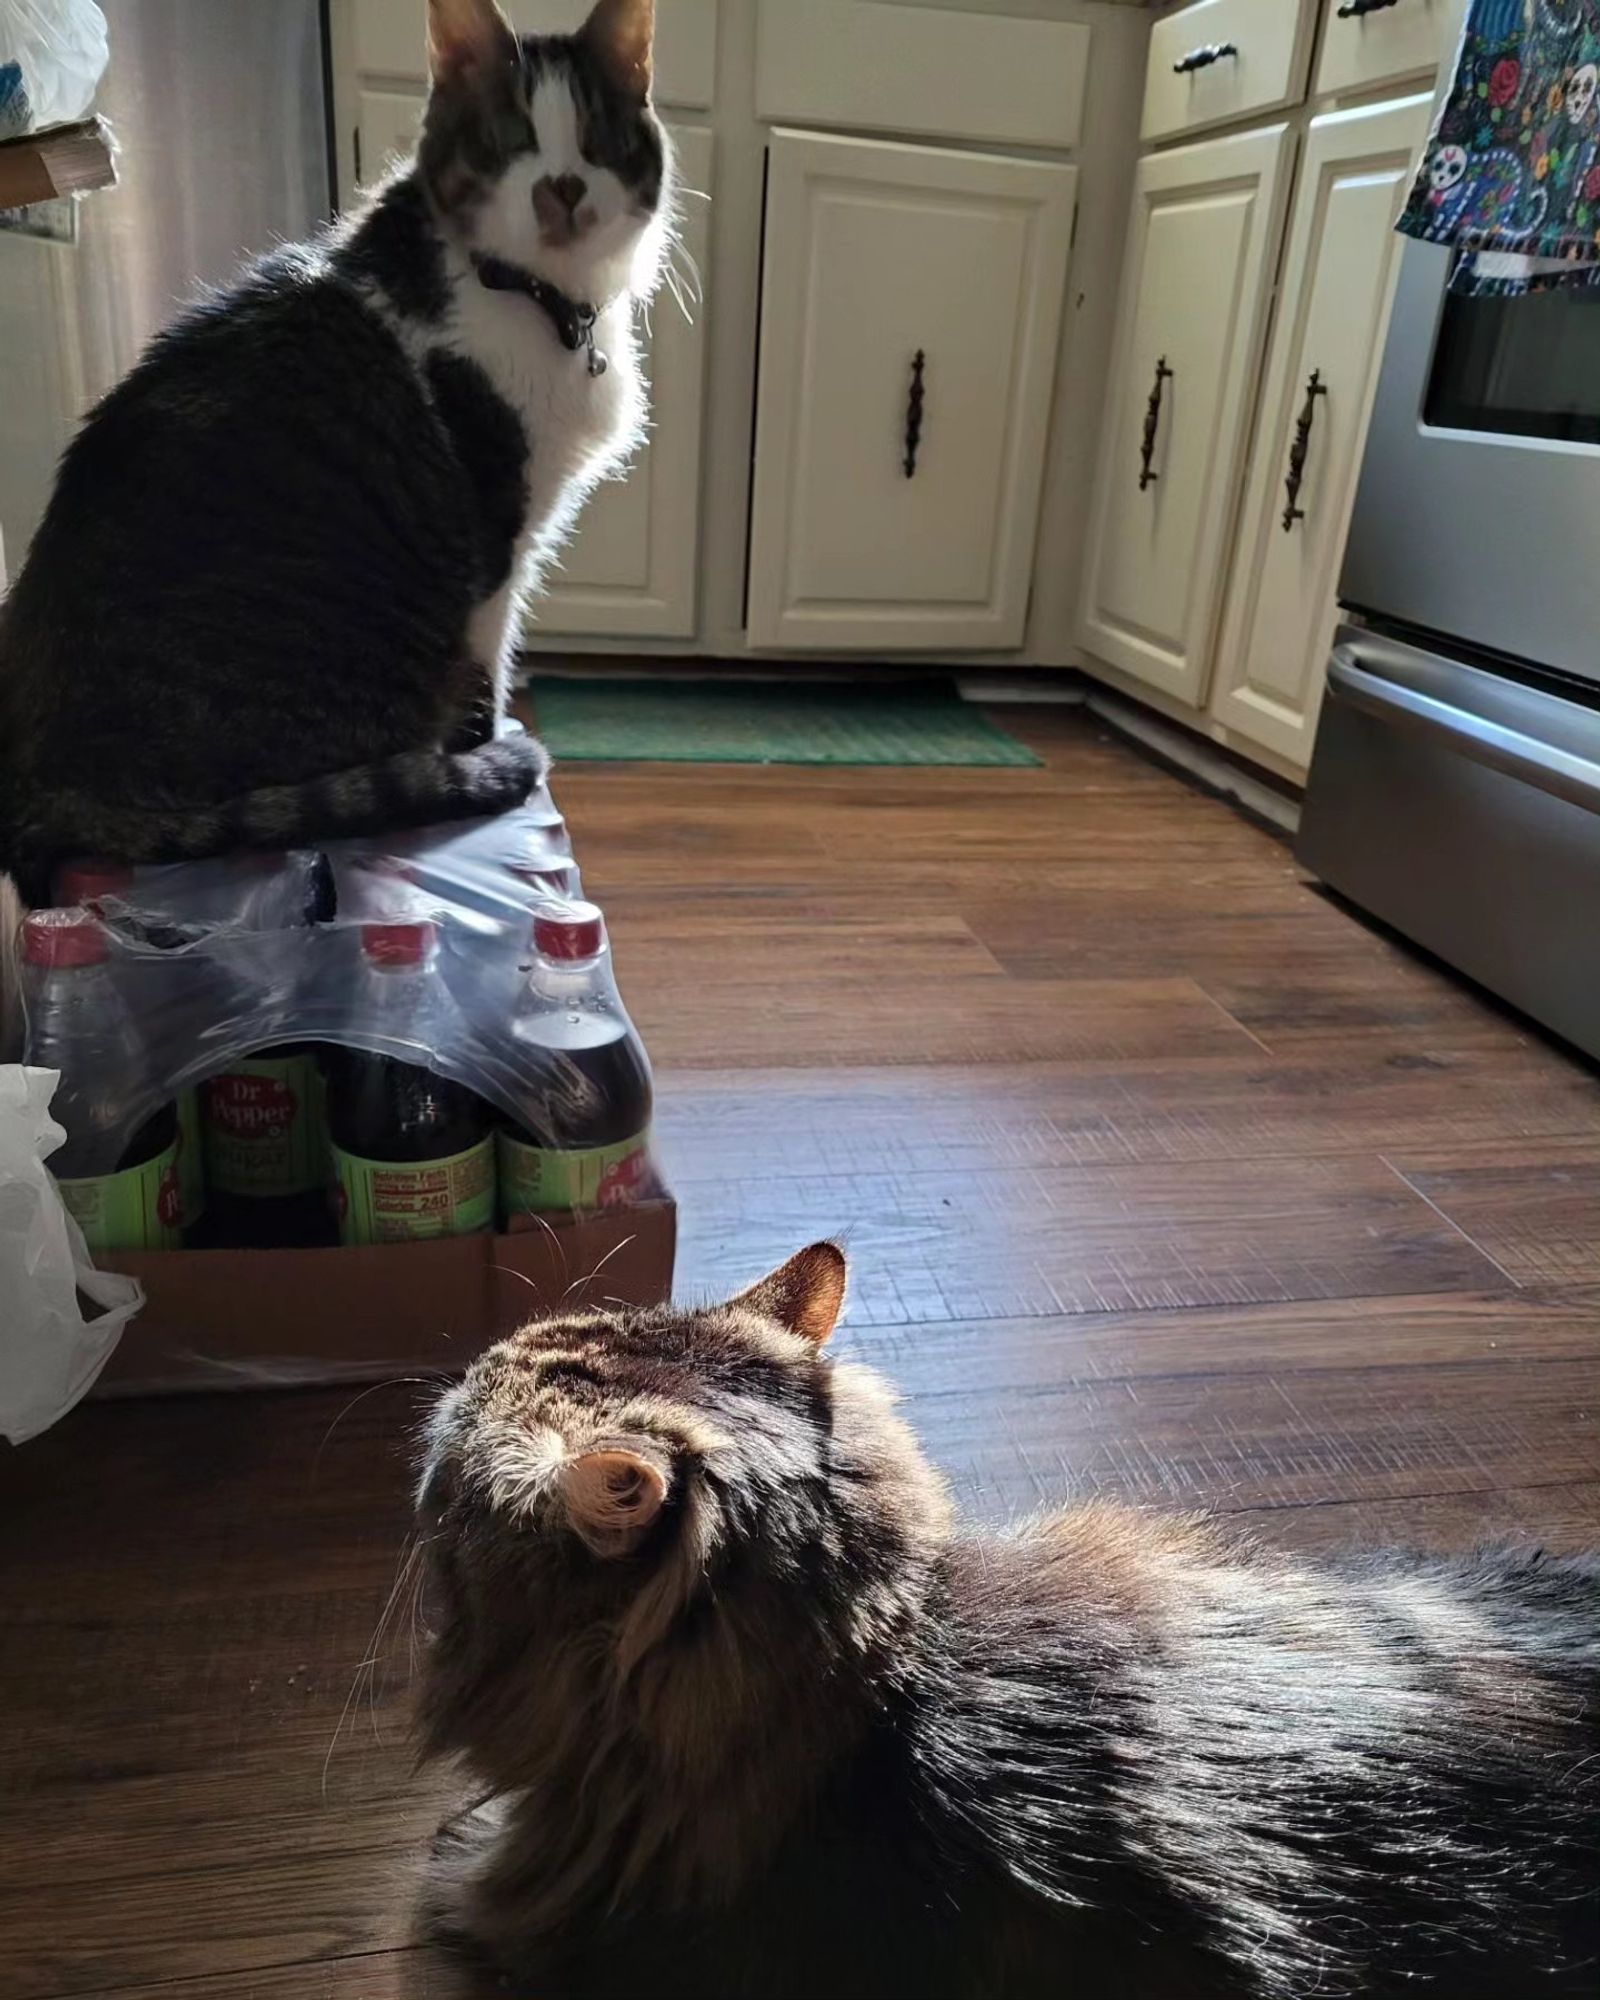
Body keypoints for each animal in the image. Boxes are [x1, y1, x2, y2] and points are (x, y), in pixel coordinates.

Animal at [0, 0, 672, 900]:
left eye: (595, 138)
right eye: (512, 137)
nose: (560, 187)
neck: (536, 296)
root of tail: (43, 790)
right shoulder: (501, 532)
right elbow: (489, 657)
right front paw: (481, 742)